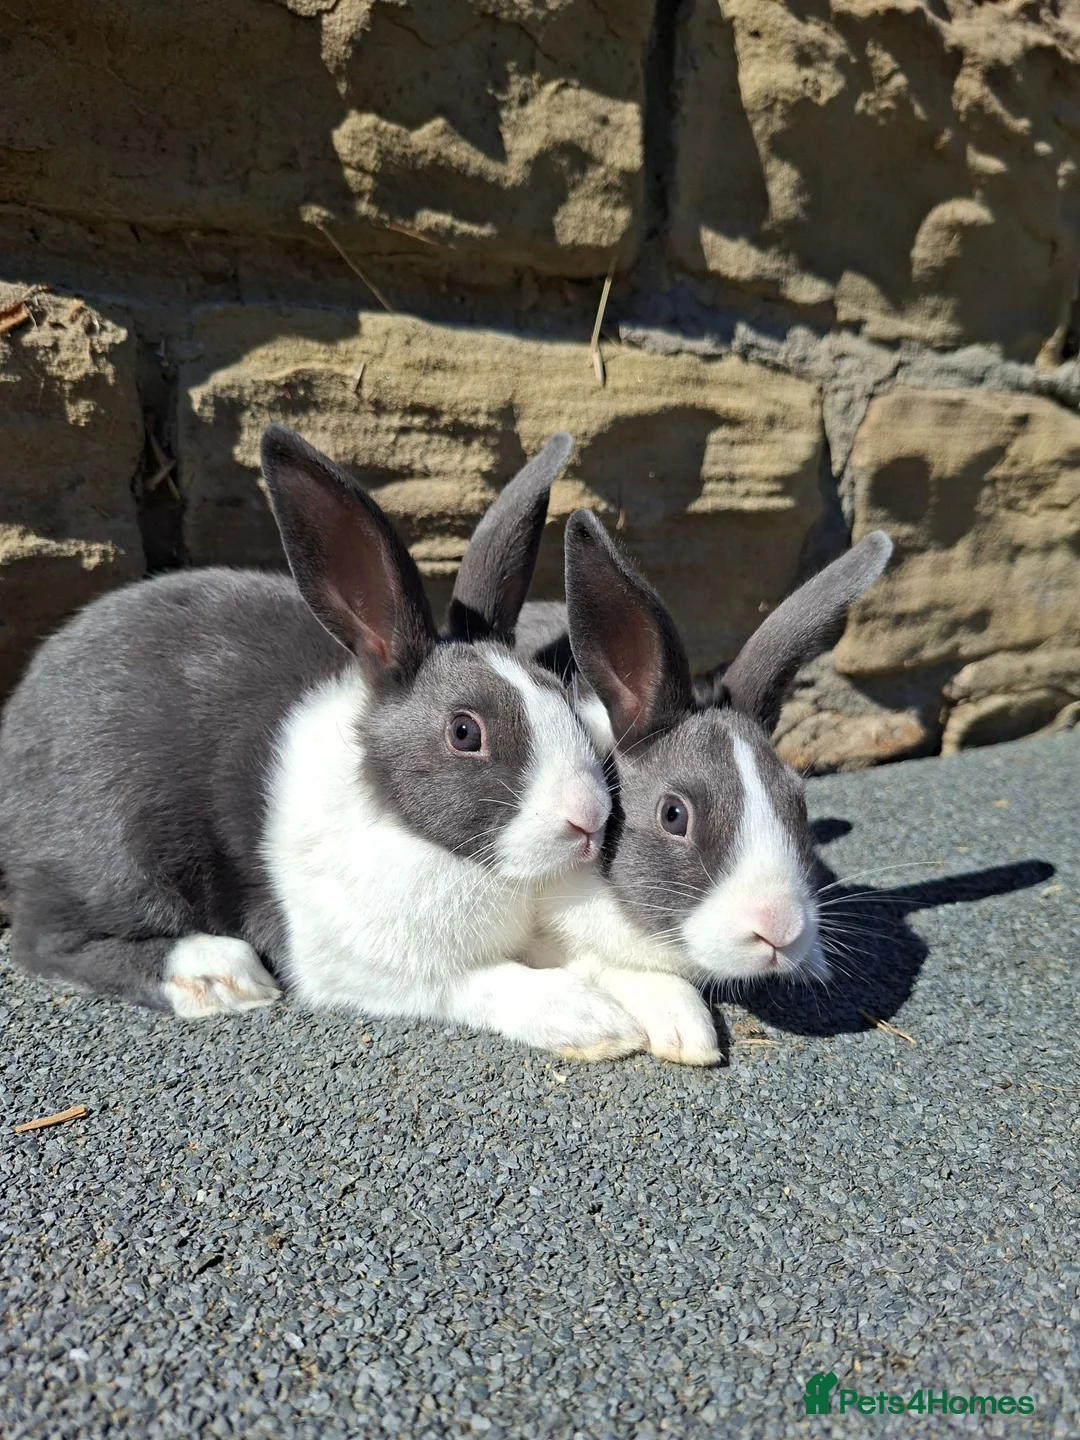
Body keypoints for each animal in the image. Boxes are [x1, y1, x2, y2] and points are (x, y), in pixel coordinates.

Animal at [0, 427, 651, 1061]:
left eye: (558, 692)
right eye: (465, 732)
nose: (590, 817)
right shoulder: (372, 967)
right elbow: (489, 983)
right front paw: (591, 1021)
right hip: (116, 849)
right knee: (46, 941)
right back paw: (217, 975)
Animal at [512, 513, 893, 1066]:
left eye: (798, 802)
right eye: (674, 815)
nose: (779, 931)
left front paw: (814, 960)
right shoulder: (542, 928)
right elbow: (600, 963)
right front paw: (686, 1027)